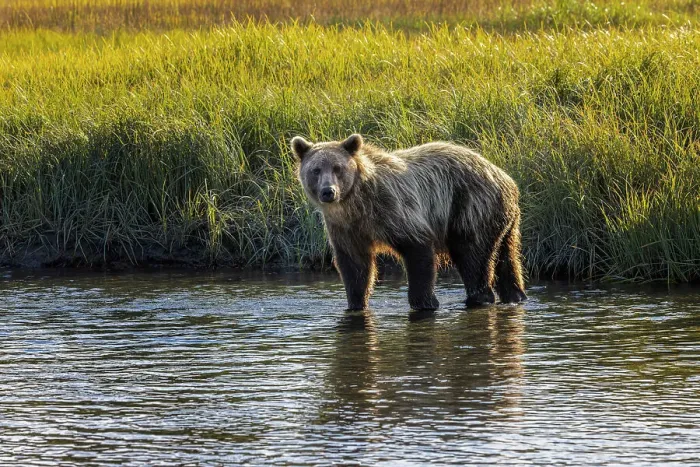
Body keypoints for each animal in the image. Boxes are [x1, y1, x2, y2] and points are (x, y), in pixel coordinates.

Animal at [291, 134, 527, 311]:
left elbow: (417, 251)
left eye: (338, 168)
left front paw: (425, 302)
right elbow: (355, 266)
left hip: (470, 207)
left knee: (472, 257)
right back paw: (515, 295)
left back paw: (479, 297)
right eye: (316, 170)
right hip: (504, 222)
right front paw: (356, 303)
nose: (328, 191)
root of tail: (507, 179)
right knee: (506, 258)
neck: (356, 205)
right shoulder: (346, 229)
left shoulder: (394, 210)